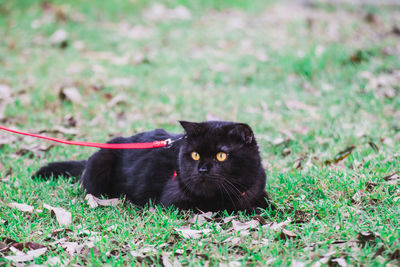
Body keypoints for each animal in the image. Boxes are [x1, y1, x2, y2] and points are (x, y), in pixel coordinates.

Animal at [34, 121, 274, 214]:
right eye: (195, 154)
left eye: (221, 155)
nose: (202, 169)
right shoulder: (175, 201)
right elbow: (216, 206)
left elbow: (267, 202)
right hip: (100, 165)